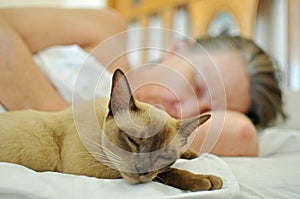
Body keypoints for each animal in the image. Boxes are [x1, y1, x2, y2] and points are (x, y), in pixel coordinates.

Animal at [0, 69, 221, 191]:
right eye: (133, 141)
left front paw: (191, 154)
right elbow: (166, 174)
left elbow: (166, 169)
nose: (141, 171)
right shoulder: (83, 165)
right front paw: (207, 180)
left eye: (164, 156)